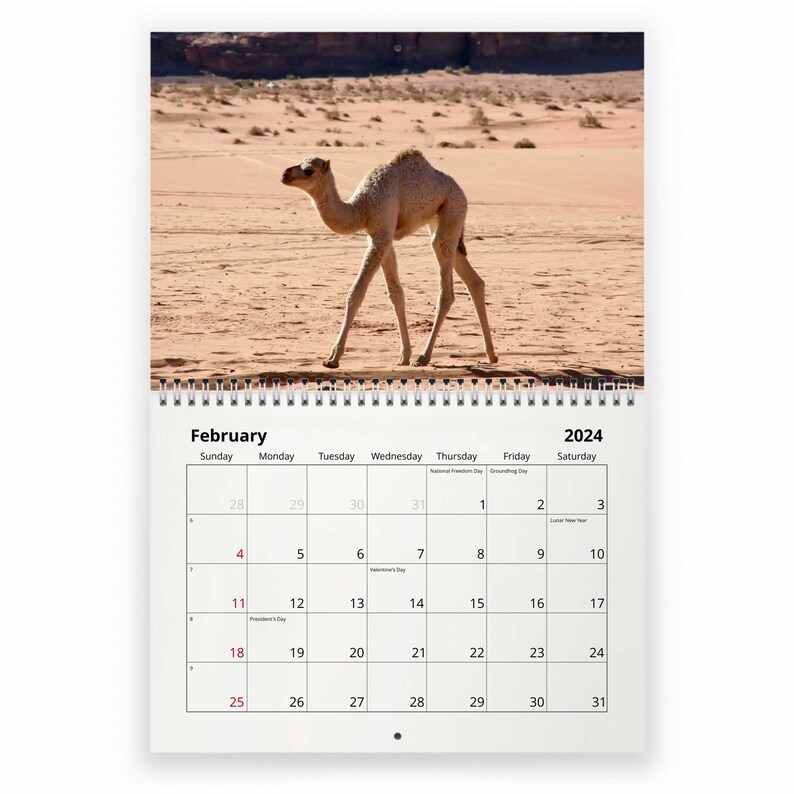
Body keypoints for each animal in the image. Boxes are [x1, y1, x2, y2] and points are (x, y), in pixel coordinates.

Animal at [280, 148, 498, 368]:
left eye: (309, 170)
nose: (285, 174)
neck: (363, 207)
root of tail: (459, 190)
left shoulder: (382, 235)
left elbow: (356, 292)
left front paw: (333, 357)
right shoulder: (380, 237)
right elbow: (396, 294)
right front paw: (404, 356)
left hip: (453, 207)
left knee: (444, 277)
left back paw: (424, 356)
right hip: (441, 219)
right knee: (472, 279)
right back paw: (491, 354)